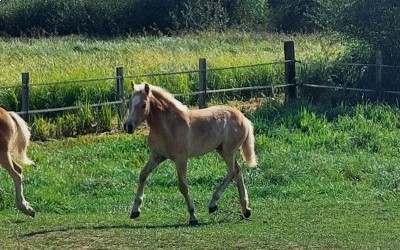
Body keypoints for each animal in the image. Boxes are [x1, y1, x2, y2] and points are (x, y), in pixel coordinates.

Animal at [123, 83, 258, 226]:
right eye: (129, 103)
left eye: (143, 105)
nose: (128, 127)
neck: (169, 125)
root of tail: (243, 118)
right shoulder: (157, 155)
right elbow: (143, 175)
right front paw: (135, 211)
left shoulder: (181, 158)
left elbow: (183, 186)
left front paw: (193, 216)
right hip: (221, 150)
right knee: (238, 171)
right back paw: (245, 210)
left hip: (228, 151)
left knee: (232, 172)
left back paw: (213, 204)